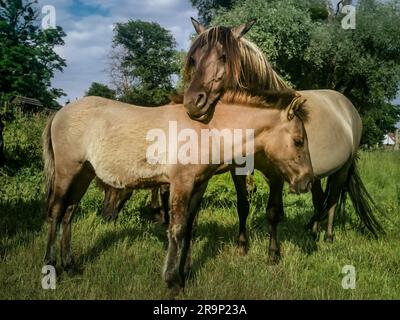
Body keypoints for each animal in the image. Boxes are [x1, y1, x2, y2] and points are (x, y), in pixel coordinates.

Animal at [43, 93, 312, 290]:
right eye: (299, 140)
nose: (306, 181)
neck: (206, 130)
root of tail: (59, 113)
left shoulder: (198, 184)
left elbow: (189, 228)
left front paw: (184, 274)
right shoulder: (180, 183)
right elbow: (177, 228)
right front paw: (172, 281)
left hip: (84, 174)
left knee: (69, 213)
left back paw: (70, 265)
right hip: (67, 171)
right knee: (56, 211)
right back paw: (51, 265)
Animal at [183, 18, 382, 241]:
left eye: (223, 57)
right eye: (194, 59)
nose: (192, 102)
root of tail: (348, 107)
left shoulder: (277, 172)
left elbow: (273, 210)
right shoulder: (239, 168)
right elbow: (243, 205)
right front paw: (242, 242)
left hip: (342, 169)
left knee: (332, 200)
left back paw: (329, 236)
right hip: (316, 173)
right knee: (320, 199)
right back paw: (313, 232)